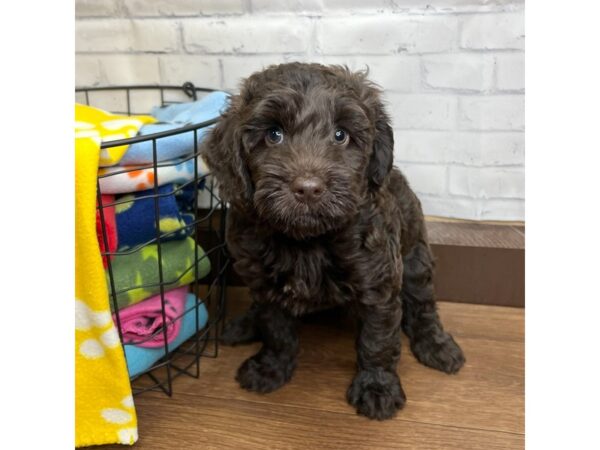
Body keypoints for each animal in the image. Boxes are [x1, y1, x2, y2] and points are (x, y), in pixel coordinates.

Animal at [202, 63, 464, 422]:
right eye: (273, 134)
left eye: (341, 135)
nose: (309, 188)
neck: (307, 240)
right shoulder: (266, 285)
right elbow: (276, 328)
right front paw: (271, 368)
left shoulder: (379, 284)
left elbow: (377, 340)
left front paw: (377, 388)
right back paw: (244, 325)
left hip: (415, 261)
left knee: (423, 306)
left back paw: (437, 347)